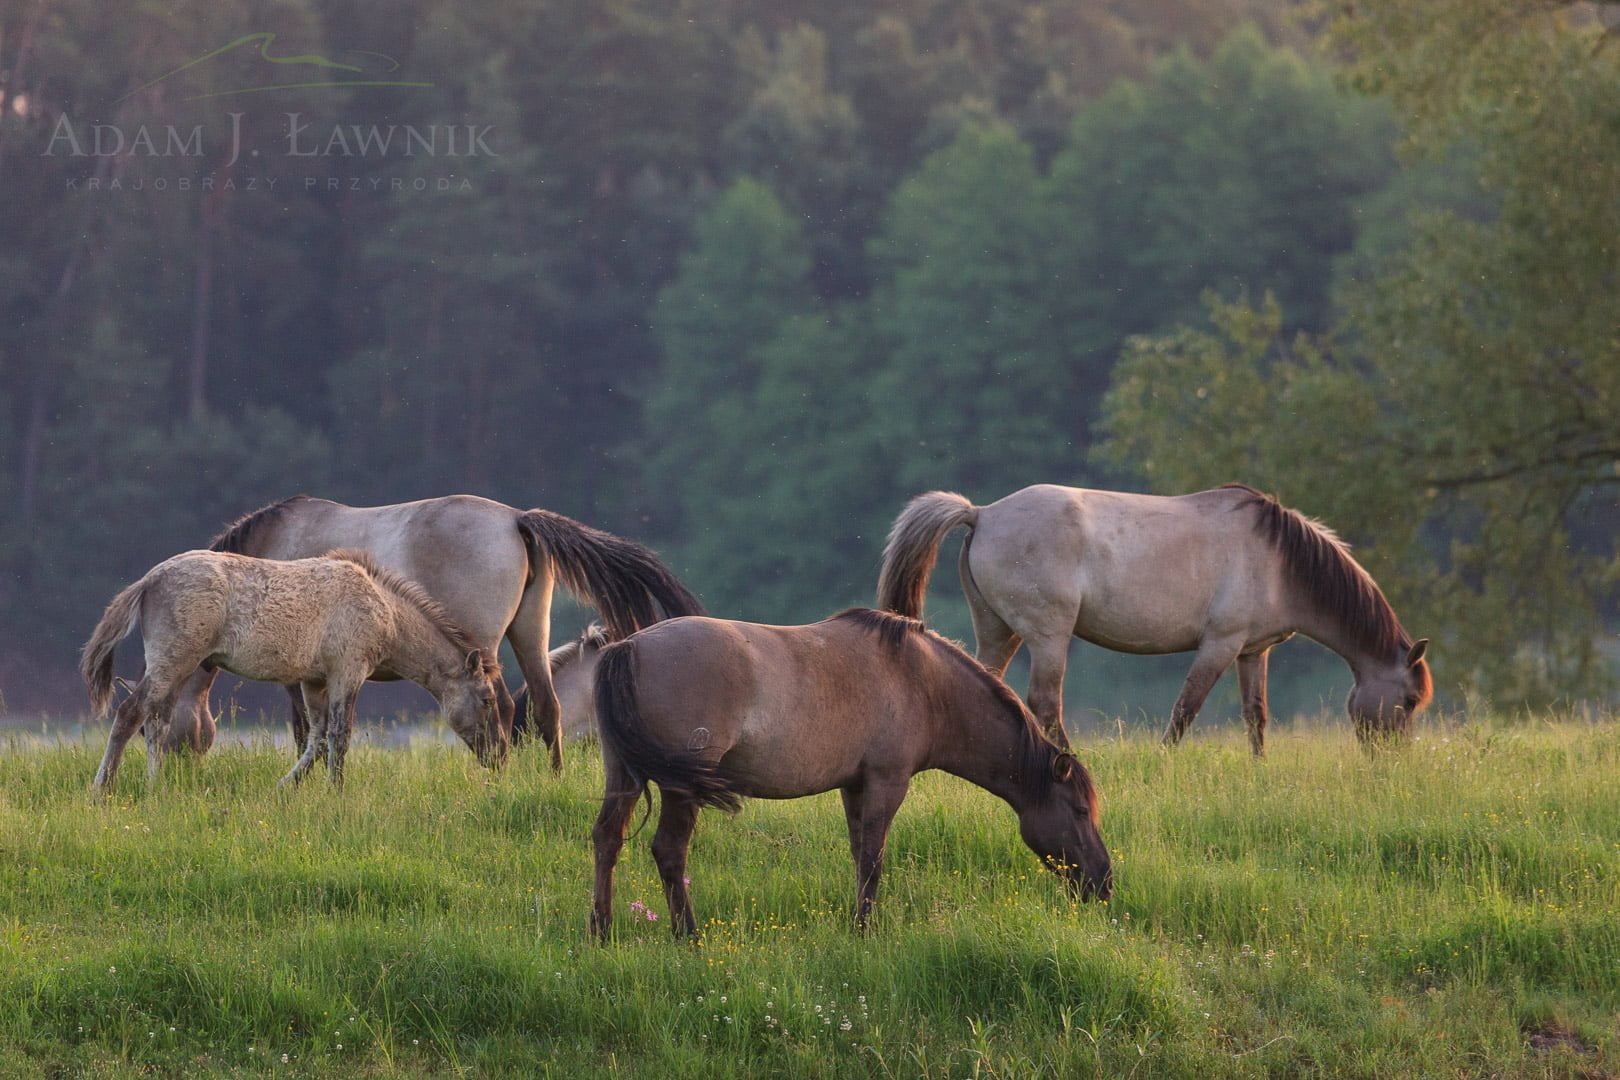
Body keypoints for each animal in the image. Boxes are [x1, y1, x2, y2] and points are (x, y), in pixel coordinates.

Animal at [80, 550, 498, 793]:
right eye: (488, 699)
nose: (498, 757)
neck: (386, 613)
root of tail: (149, 580)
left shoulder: (314, 682)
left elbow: (317, 739)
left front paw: (283, 788)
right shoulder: (348, 672)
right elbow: (339, 736)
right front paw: (335, 792)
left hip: (176, 667)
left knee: (157, 720)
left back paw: (156, 786)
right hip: (173, 661)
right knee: (130, 713)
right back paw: (103, 787)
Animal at [172, 495, 703, 773]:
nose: (179, 777)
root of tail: (517, 519)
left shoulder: (302, 673)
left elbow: (309, 730)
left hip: (485, 646)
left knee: (502, 707)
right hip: (530, 632)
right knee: (547, 708)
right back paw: (550, 778)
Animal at [589, 605, 1108, 939]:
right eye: (1081, 811)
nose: (1104, 881)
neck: (923, 681)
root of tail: (629, 646)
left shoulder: (853, 786)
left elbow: (860, 854)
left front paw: (857, 923)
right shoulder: (887, 781)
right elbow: (874, 858)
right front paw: (865, 930)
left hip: (623, 776)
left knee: (607, 840)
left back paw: (601, 929)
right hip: (680, 788)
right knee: (669, 851)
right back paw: (688, 935)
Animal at [887, 485, 1432, 757]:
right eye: (1407, 702)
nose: (1392, 763)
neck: (1279, 560)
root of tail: (983, 514)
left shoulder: (1252, 651)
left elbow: (1256, 714)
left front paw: (1260, 770)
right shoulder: (1219, 645)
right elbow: (1185, 709)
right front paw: (1165, 760)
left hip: (997, 630)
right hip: (1047, 636)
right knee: (1045, 701)